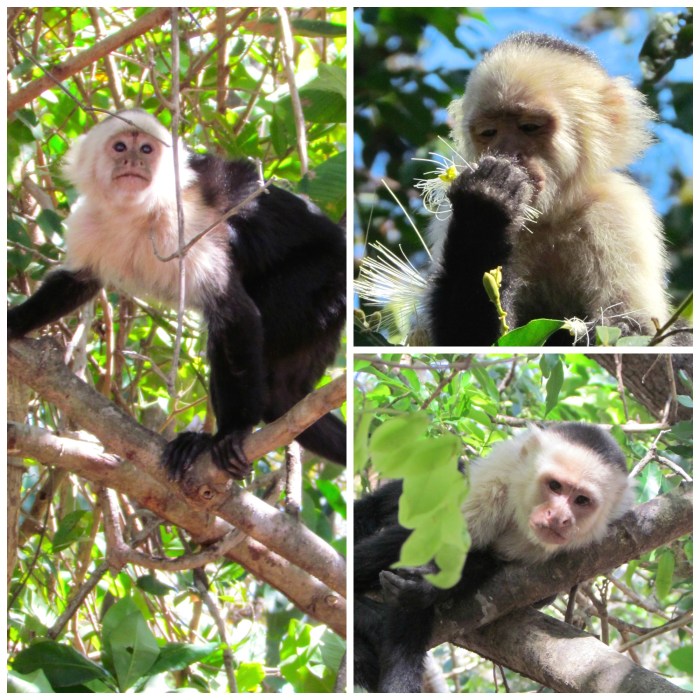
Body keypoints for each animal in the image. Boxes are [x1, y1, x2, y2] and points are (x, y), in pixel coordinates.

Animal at [8, 110, 346, 479]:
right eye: (120, 146)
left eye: (146, 149)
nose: (133, 161)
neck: (137, 212)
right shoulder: (88, 222)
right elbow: (77, 282)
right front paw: (14, 322)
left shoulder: (184, 224)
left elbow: (235, 313)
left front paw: (236, 429)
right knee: (282, 398)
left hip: (320, 280)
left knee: (234, 335)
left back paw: (215, 440)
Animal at [354, 422, 634, 692]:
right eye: (555, 486)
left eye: (582, 500)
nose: (558, 517)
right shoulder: (491, 483)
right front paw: (399, 680)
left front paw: (422, 590)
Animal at [423, 32, 677, 346]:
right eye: (489, 133)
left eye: (530, 127)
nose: (507, 153)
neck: (550, 216)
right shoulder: (449, 212)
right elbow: (464, 336)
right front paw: (483, 212)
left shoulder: (618, 209)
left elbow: (635, 328)